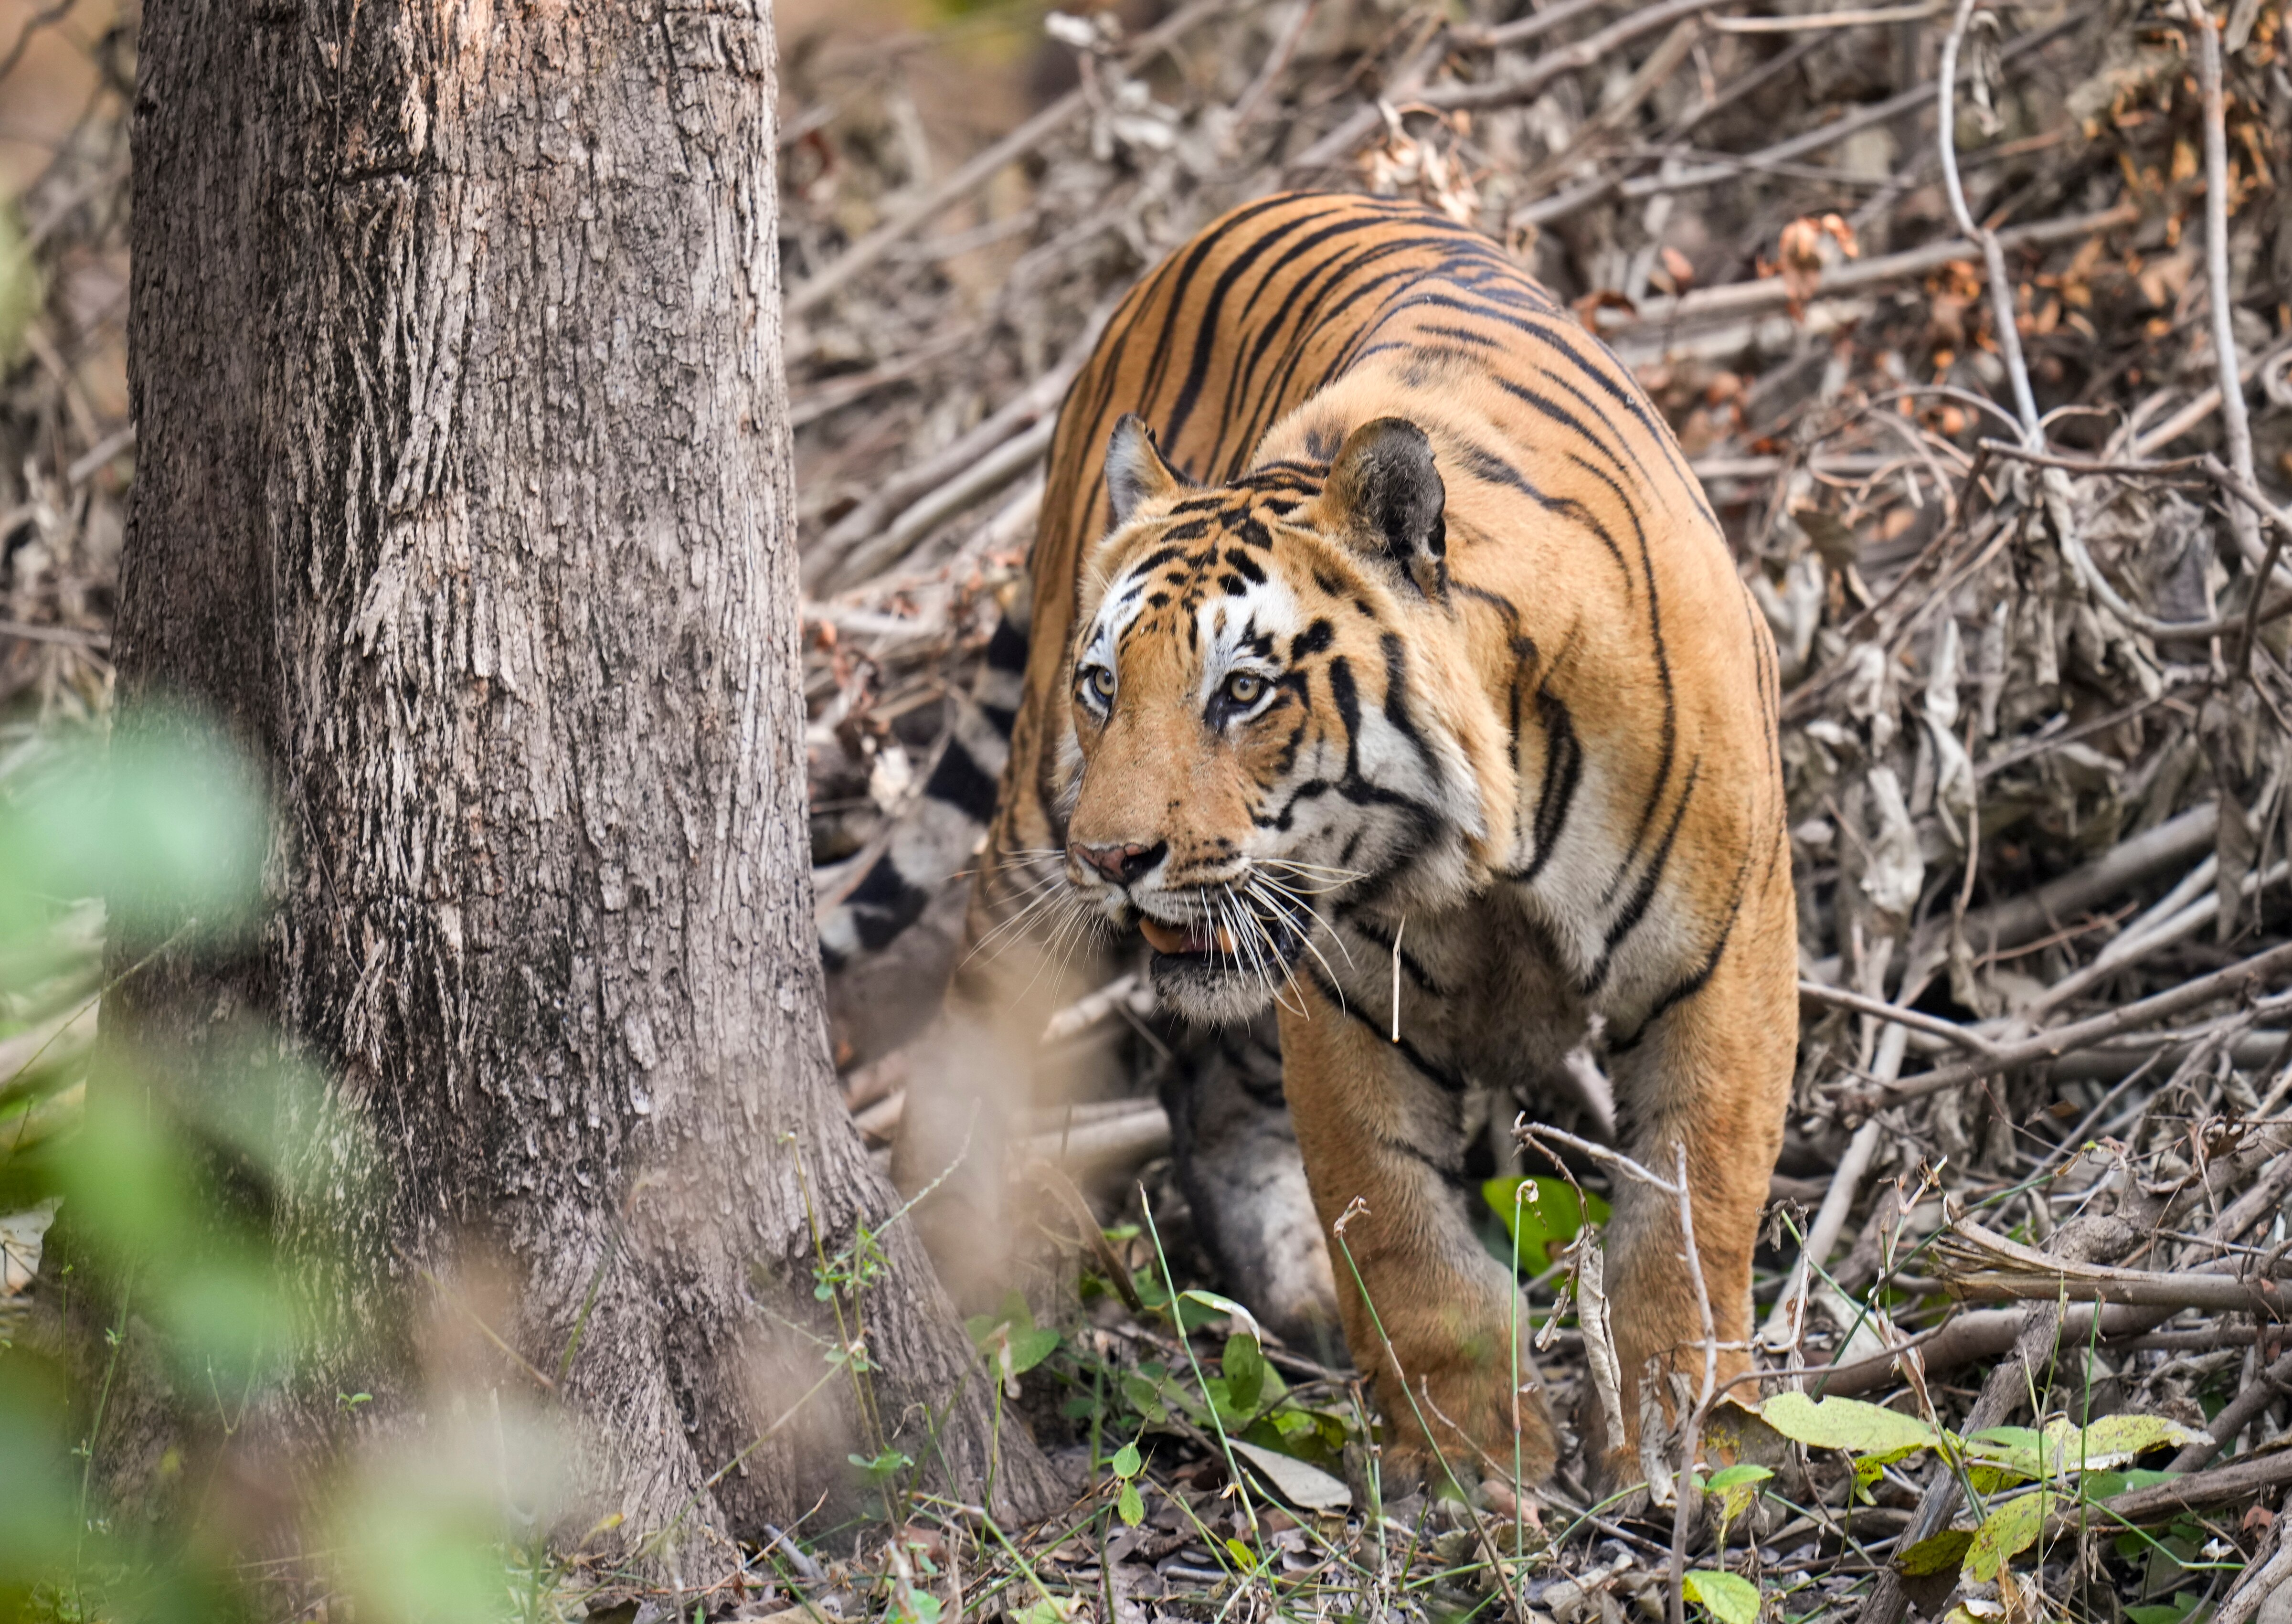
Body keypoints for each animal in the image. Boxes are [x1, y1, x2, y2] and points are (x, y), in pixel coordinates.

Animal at [884, 190, 1797, 1486]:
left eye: (1241, 692)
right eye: (1106, 685)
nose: (1115, 860)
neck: (1483, 857)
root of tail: (1229, 217)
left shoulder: (1720, 962)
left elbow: (1692, 1209)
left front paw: (1689, 1439)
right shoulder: (1347, 997)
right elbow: (1400, 1231)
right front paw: (1473, 1470)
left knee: (1205, 1089)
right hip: (1036, 844)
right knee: (982, 1017)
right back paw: (954, 1266)